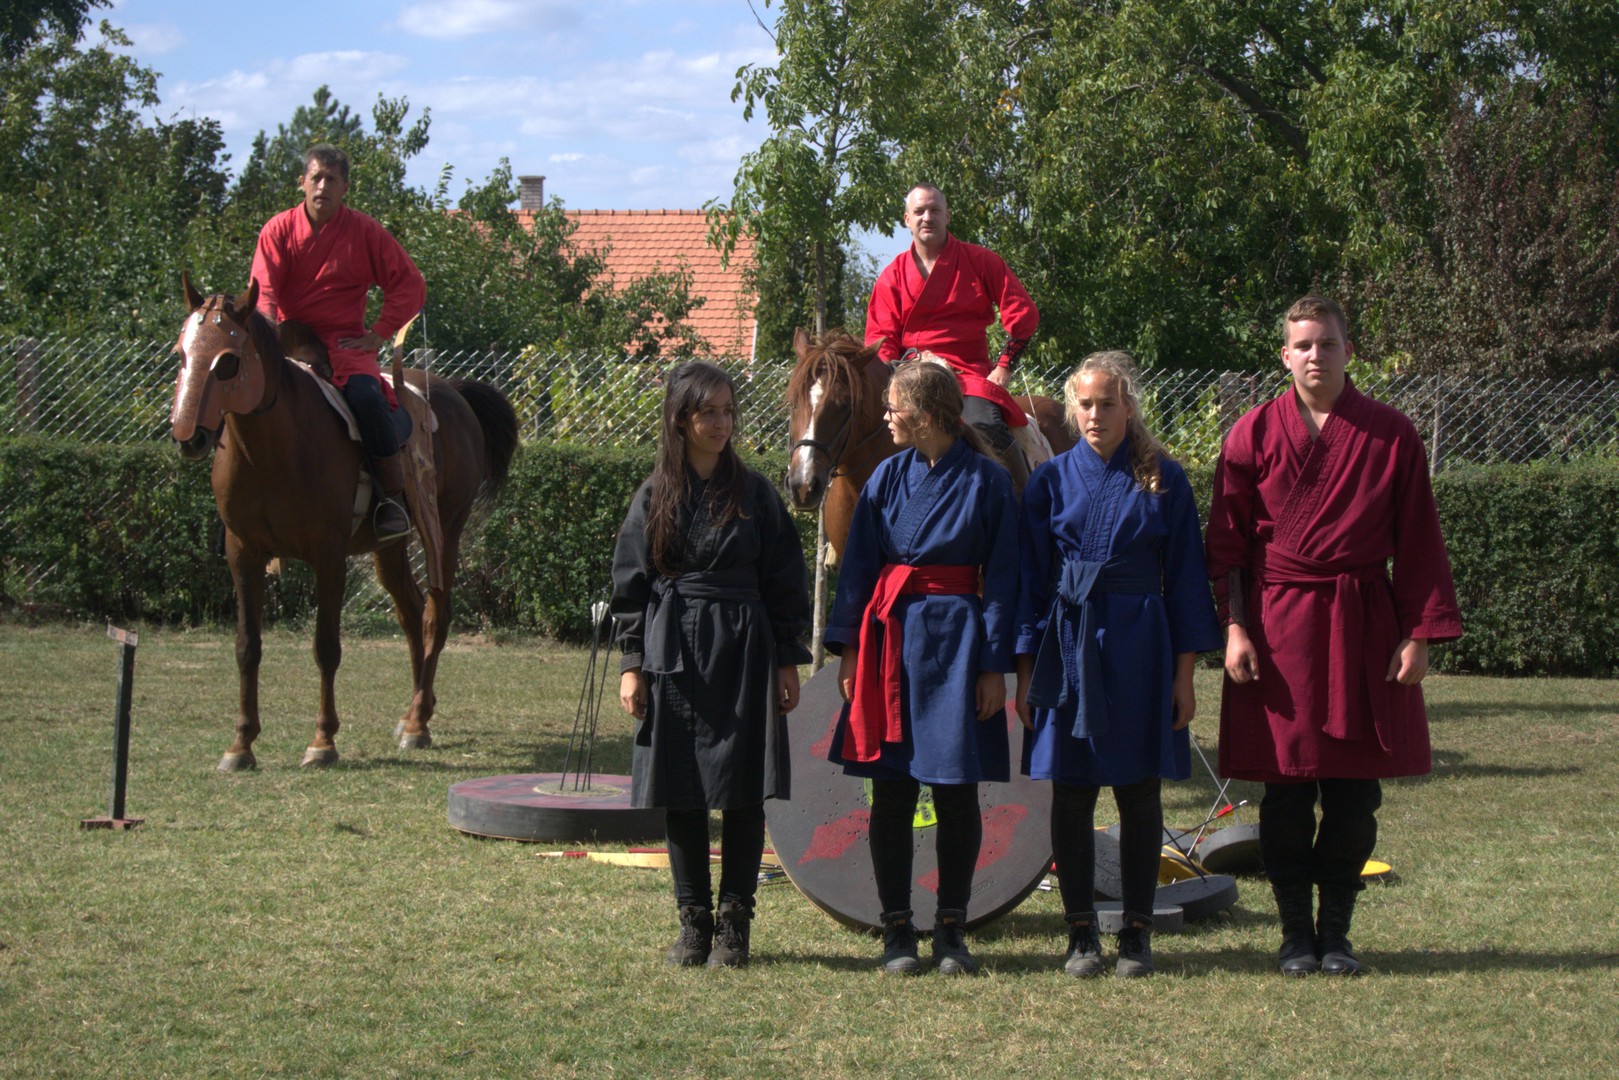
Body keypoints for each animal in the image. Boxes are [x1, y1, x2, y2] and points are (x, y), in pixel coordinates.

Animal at [169, 277, 519, 771]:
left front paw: (323, 741)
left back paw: (417, 722)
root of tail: (450, 389)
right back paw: (415, 711)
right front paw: (241, 744)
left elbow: (326, 647)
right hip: (388, 546)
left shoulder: (329, 556)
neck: (273, 448)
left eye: (228, 362)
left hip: (444, 531)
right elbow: (247, 647)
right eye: (182, 354)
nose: (189, 436)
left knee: (436, 614)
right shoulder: (243, 555)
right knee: (411, 612)